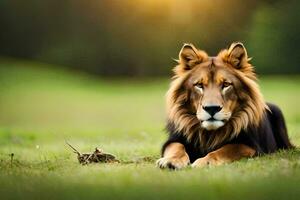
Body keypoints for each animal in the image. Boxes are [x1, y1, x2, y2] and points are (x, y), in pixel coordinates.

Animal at [157, 41, 292, 169]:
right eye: (199, 85)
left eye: (226, 84)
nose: (212, 108)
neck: (210, 134)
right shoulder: (173, 140)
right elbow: (177, 147)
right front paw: (171, 161)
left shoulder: (251, 146)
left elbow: (225, 150)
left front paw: (205, 162)